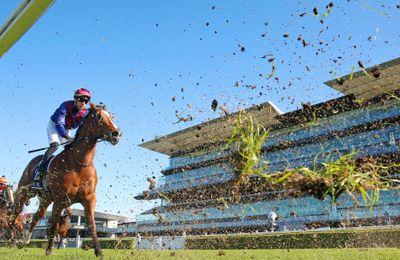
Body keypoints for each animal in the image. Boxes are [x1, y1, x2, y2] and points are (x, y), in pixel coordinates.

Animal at [9, 102, 120, 256]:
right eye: (98, 116)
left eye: (112, 117)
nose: (116, 134)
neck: (79, 163)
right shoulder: (60, 198)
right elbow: (54, 224)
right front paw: (49, 249)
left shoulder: (89, 197)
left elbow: (91, 225)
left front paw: (99, 252)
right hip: (24, 193)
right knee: (15, 214)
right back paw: (12, 239)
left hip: (45, 199)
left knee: (36, 217)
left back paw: (24, 241)